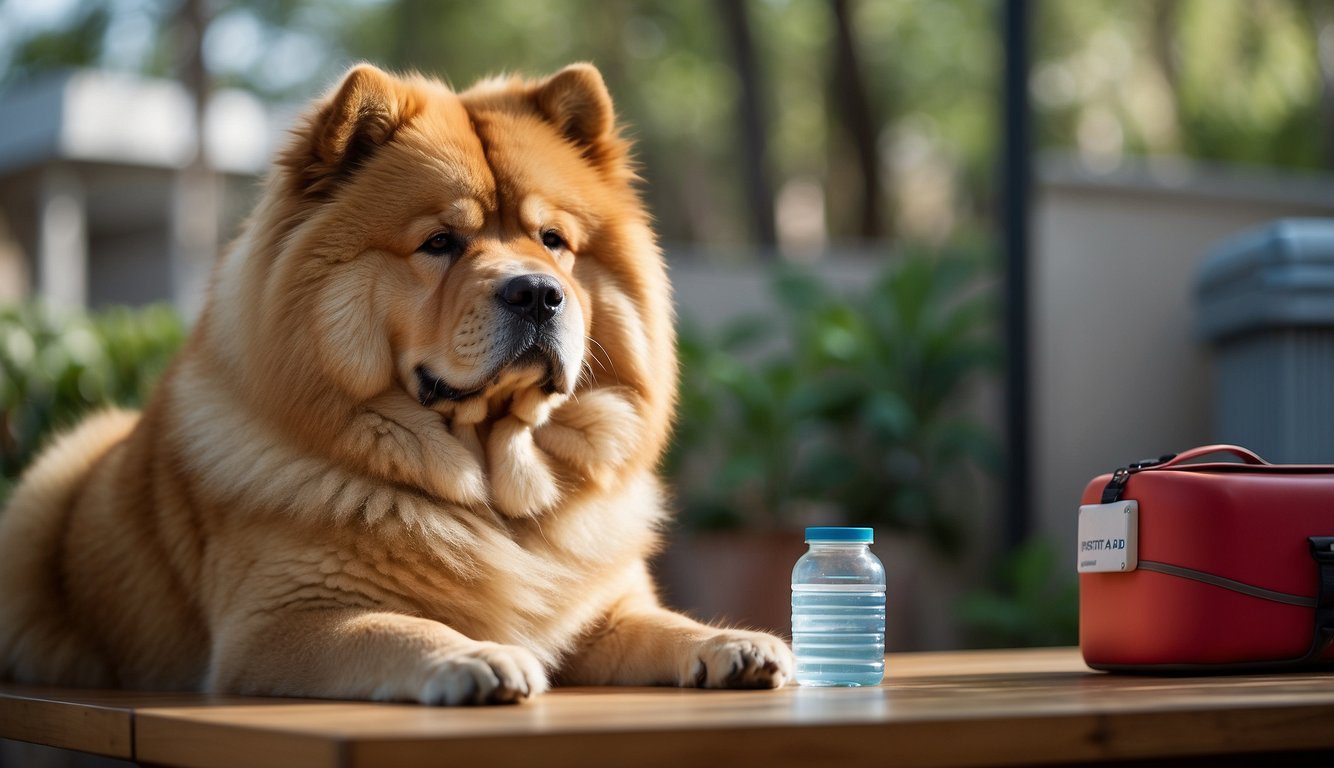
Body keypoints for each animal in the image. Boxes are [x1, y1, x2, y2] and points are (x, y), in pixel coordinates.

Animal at [0, 63, 789, 704]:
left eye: (553, 242)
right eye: (440, 243)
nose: (539, 292)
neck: (495, 495)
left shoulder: (604, 611)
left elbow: (662, 623)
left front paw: (732, 642)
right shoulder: (283, 623)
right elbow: (396, 628)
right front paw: (478, 657)